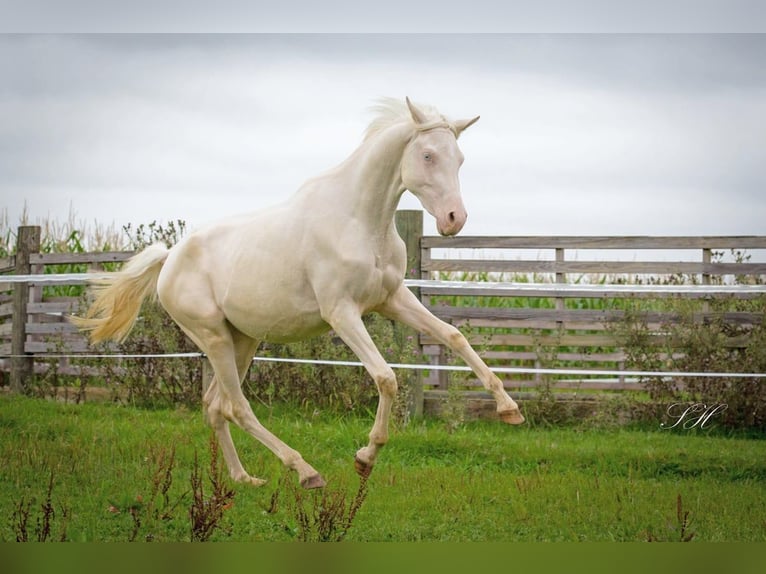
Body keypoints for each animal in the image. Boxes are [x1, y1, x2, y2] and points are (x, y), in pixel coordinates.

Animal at [72, 98, 524, 490]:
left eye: (459, 159)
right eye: (428, 155)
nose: (454, 219)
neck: (359, 220)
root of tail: (170, 258)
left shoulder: (393, 299)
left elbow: (453, 335)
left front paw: (509, 409)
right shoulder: (342, 313)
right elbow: (386, 377)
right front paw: (365, 457)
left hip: (242, 339)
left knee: (215, 405)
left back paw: (244, 479)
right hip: (213, 337)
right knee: (236, 406)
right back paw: (305, 472)